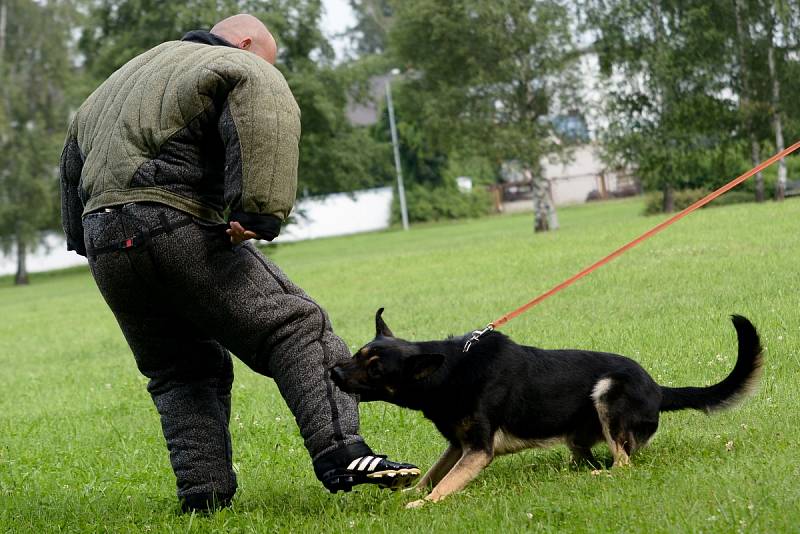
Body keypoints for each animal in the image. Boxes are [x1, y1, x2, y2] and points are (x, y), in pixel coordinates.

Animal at [330, 310, 764, 510]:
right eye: (359, 354)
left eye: (375, 369)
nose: (332, 371)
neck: (450, 372)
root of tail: (658, 388)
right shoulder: (458, 444)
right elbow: (433, 474)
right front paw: (410, 492)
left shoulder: (478, 451)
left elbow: (446, 484)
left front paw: (421, 505)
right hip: (579, 433)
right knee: (590, 457)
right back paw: (577, 473)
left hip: (608, 391)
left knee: (623, 464)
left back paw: (598, 476)